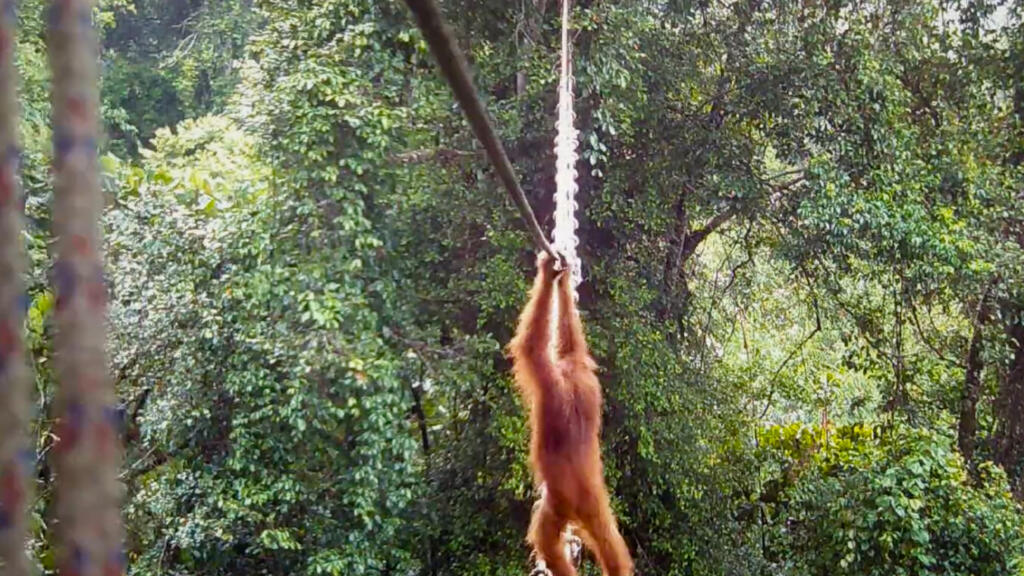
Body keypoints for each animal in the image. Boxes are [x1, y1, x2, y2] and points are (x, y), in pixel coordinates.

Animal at [508, 252, 633, 576]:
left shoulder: (549, 380)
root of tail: (584, 493)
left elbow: (532, 347)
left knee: (545, 539)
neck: (571, 381)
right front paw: (562, 281)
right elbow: (572, 341)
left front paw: (547, 273)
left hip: (557, 504)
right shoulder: (583, 371)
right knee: (610, 543)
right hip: (596, 505)